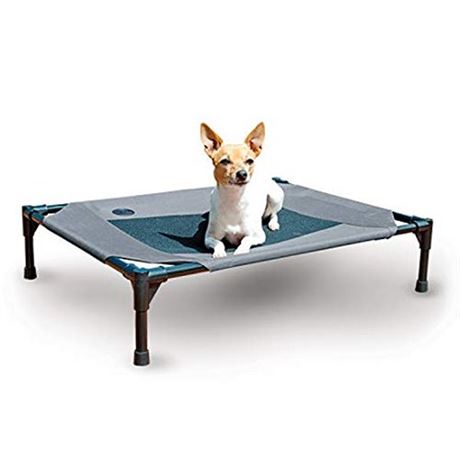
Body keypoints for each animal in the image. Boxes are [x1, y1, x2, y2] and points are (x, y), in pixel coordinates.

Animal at [201, 122, 284, 258]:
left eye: (249, 161)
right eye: (225, 161)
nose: (242, 174)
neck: (234, 199)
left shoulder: (259, 236)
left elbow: (246, 239)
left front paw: (240, 250)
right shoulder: (209, 238)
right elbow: (219, 243)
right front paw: (219, 253)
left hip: (275, 197)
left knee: (273, 213)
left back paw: (273, 223)